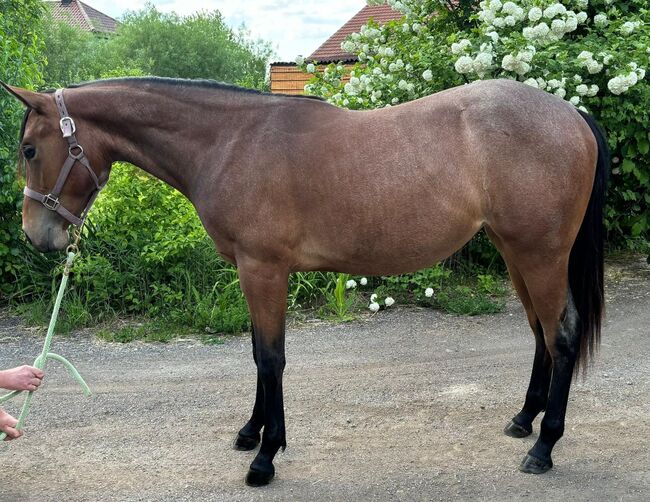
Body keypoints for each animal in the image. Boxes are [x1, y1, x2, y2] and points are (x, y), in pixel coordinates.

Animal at [2, 79, 604, 486]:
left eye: (29, 149)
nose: (37, 235)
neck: (230, 142)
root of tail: (571, 115)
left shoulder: (264, 268)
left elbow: (271, 358)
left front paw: (266, 457)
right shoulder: (253, 271)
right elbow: (256, 353)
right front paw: (250, 433)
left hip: (540, 254)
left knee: (561, 335)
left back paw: (544, 447)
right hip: (515, 252)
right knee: (540, 333)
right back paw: (524, 420)